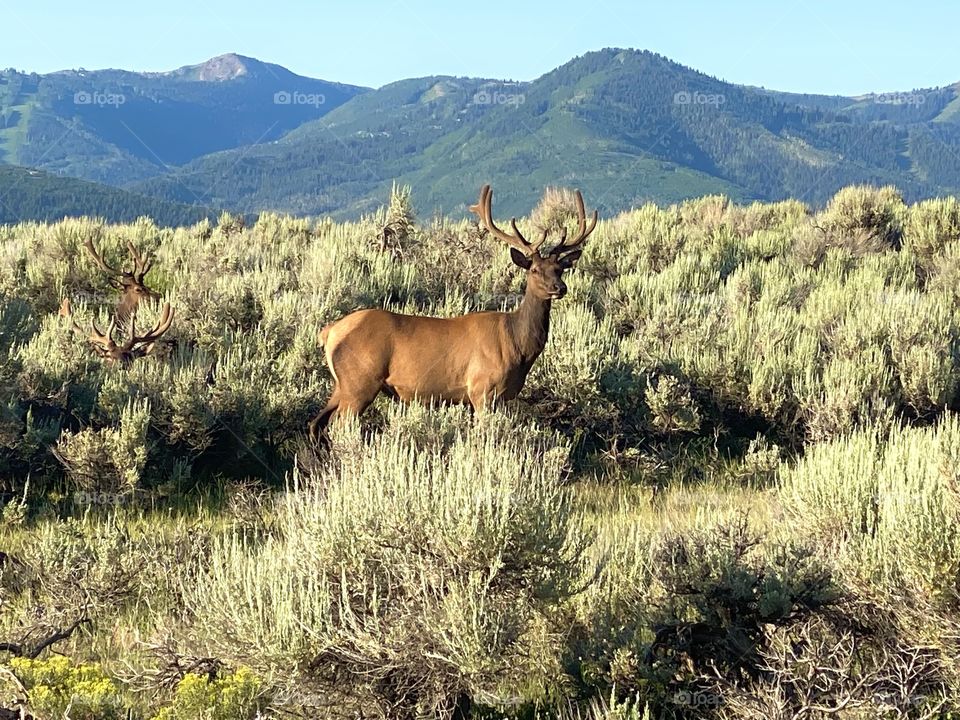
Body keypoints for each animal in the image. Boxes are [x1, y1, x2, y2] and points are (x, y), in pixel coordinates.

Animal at [308, 184, 598, 441]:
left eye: (560, 269)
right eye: (535, 270)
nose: (559, 288)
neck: (518, 347)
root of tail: (329, 332)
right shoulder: (482, 388)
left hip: (341, 384)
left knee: (317, 423)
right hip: (360, 382)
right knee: (339, 425)